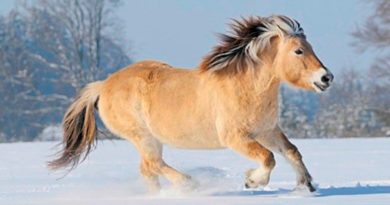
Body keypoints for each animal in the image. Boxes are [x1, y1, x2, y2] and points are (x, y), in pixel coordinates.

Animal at [48, 15, 334, 193]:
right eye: (298, 51)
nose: (326, 77)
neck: (246, 87)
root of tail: (103, 85)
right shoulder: (236, 137)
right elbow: (268, 157)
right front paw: (252, 182)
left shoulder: (267, 130)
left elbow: (291, 152)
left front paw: (306, 186)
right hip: (143, 137)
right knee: (153, 165)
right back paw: (190, 184)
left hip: (151, 139)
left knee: (147, 169)